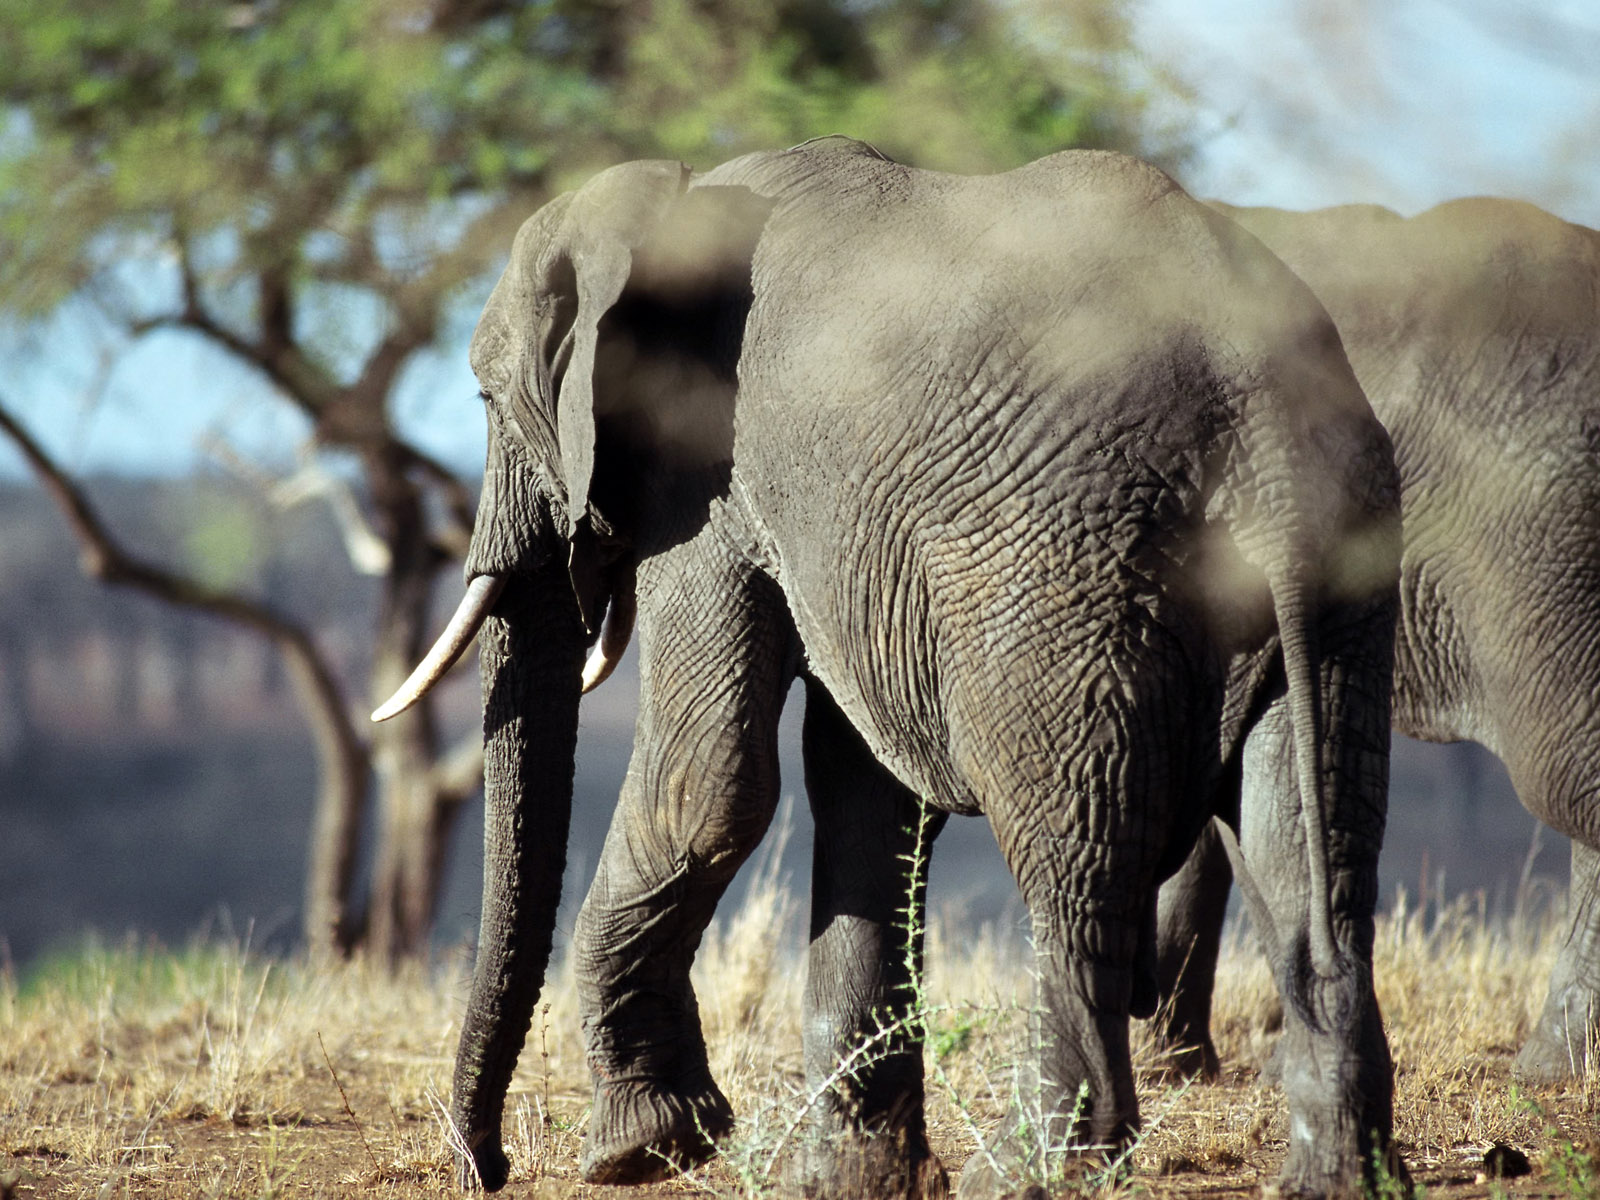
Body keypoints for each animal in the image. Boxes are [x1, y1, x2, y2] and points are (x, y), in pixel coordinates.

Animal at [374, 136, 1401, 1196]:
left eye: (486, 400)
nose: (486, 1164)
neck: (674, 195)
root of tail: (1263, 415)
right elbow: (864, 788)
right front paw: (848, 1179)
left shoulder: (706, 479)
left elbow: (709, 784)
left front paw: (641, 1152)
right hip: (1339, 571)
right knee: (1310, 857)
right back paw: (1336, 1175)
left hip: (1060, 576)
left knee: (1074, 861)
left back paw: (1037, 1170)